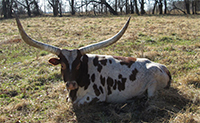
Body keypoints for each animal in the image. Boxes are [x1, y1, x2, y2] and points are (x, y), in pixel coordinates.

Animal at [14, 14, 171, 106]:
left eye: (78, 65)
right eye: (62, 65)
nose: (71, 84)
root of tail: (163, 68)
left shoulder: (97, 96)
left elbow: (77, 103)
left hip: (152, 87)